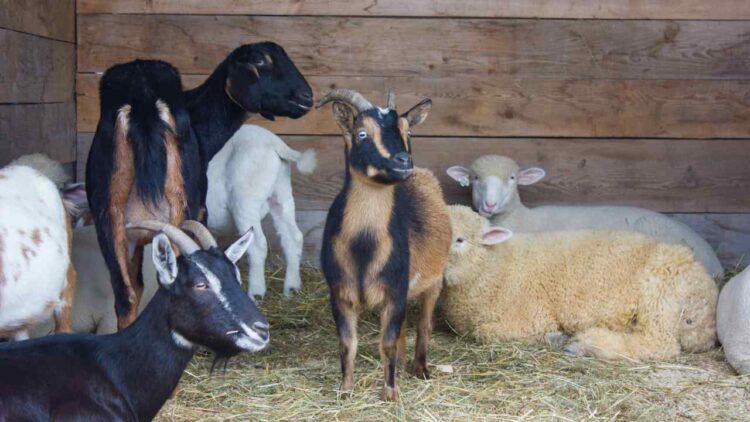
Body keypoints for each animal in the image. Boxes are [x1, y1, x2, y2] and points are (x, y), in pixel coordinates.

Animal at [206, 124, 316, 298]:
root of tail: (273, 141)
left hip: (245, 200)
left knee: (257, 246)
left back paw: (256, 293)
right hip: (281, 193)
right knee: (294, 237)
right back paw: (291, 288)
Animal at [317, 89, 451, 401]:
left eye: (407, 130)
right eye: (362, 133)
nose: (403, 161)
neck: (363, 248)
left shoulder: (395, 290)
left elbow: (387, 342)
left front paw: (390, 393)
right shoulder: (340, 293)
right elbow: (347, 342)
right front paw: (345, 390)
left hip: (435, 280)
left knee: (424, 324)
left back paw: (420, 368)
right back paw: (401, 366)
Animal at [442, 205, 718, 361]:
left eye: (459, 239)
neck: (491, 269)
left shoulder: (531, 318)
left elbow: (485, 333)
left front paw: (555, 337)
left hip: (660, 296)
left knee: (658, 344)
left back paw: (586, 343)